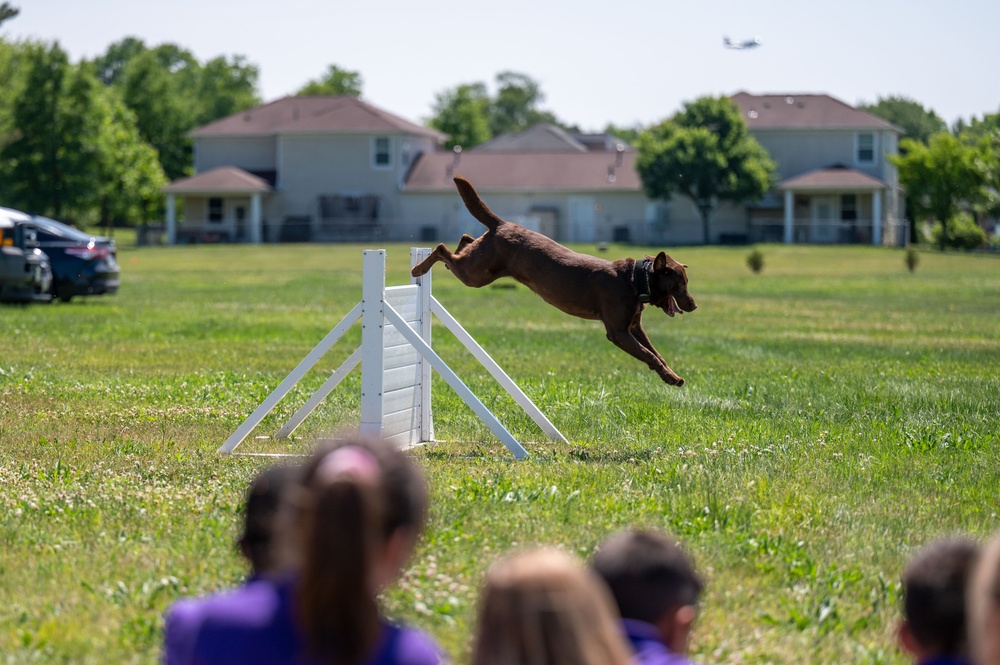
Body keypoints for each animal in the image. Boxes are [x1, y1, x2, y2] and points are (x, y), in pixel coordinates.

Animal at [410, 175, 700, 384]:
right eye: (681, 284)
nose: (695, 305)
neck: (634, 280)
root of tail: (503, 224)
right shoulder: (618, 332)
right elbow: (649, 354)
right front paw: (670, 377)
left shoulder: (634, 327)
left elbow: (655, 352)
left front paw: (672, 375)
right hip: (476, 274)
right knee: (441, 248)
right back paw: (418, 270)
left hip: (479, 265)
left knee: (464, 239)